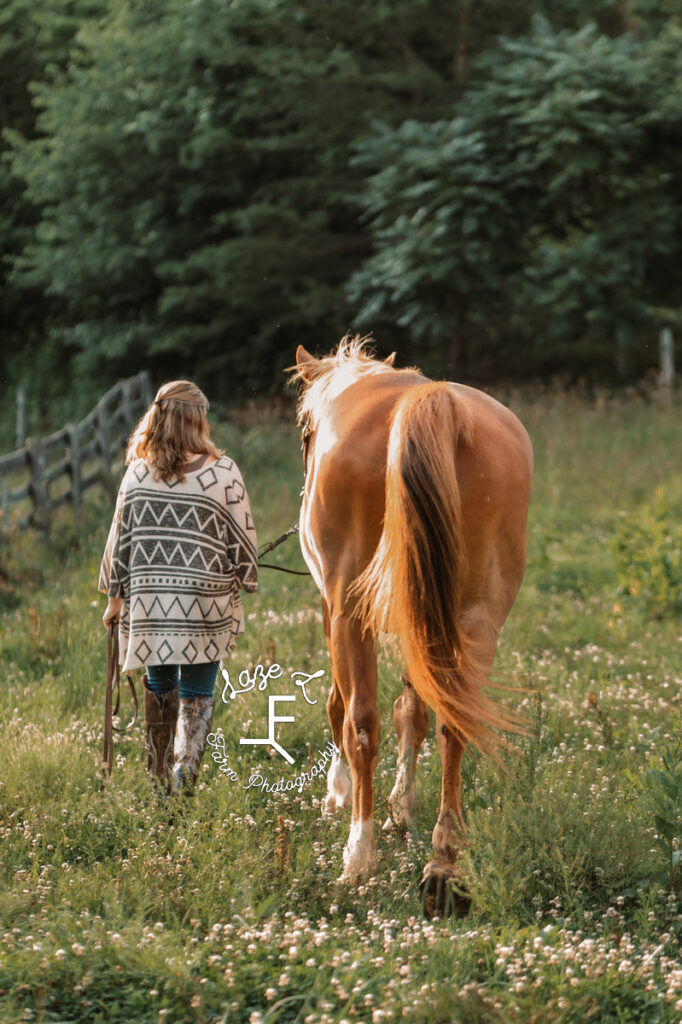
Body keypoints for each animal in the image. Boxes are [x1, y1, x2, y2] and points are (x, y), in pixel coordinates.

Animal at [288, 337, 532, 921]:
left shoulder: (335, 606)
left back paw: (359, 856)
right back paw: (444, 867)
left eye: (305, 431)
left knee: (361, 722)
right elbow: (415, 710)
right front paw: (403, 807)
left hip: (352, 611)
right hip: (474, 618)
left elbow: (342, 707)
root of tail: (434, 404)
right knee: (454, 721)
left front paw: (340, 795)